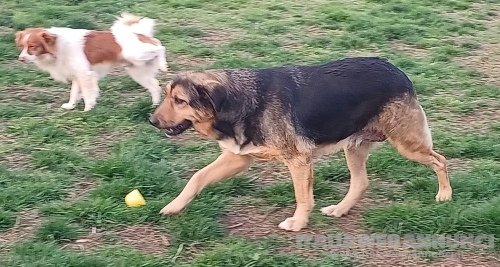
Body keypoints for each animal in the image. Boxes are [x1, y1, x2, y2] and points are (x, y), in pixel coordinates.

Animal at [15, 13, 168, 111]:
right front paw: (70, 106)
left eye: (33, 46)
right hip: (138, 72)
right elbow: (74, 93)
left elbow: (88, 94)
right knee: (155, 87)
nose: (21, 59)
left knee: (160, 46)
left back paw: (163, 65)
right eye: (22, 46)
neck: (58, 46)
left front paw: (88, 110)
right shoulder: (77, 75)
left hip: (135, 54)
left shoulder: (85, 74)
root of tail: (139, 34)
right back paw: (154, 106)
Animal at [149, 57, 454, 232]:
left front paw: (297, 223)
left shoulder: (298, 160)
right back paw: (340, 209)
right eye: (167, 96)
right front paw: (174, 207)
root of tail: (397, 70)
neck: (240, 100)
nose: (151, 120)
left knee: (440, 161)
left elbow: (302, 197)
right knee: (361, 183)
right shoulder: (238, 158)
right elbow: (197, 178)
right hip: (353, 147)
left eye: (180, 101)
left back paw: (445, 195)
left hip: (407, 144)